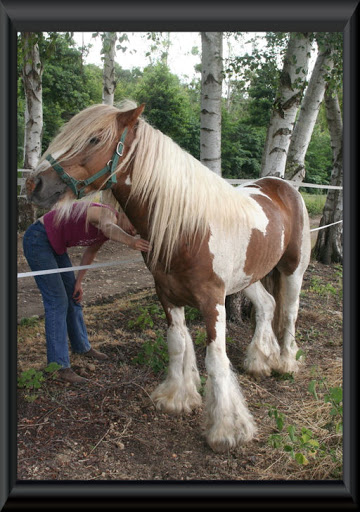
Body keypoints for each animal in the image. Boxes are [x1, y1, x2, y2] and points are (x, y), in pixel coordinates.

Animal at [26, 101, 312, 452]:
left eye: (94, 139)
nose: (34, 184)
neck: (189, 226)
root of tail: (282, 186)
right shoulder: (166, 293)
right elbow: (177, 343)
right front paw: (176, 398)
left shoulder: (212, 301)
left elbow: (215, 358)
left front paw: (226, 429)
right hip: (250, 275)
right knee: (268, 306)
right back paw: (259, 362)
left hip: (293, 269)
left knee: (289, 313)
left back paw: (285, 363)